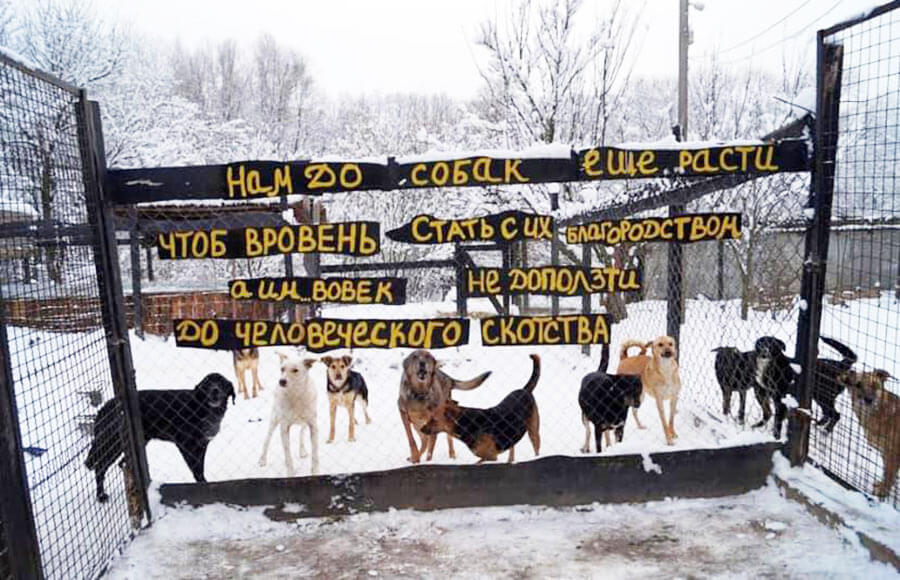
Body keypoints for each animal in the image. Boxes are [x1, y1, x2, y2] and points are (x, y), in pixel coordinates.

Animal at [84, 372, 236, 502]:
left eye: (221, 382)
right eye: (207, 383)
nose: (215, 390)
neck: (202, 408)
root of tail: (105, 407)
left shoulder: (202, 445)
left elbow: (200, 468)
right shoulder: (185, 444)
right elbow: (196, 470)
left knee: (121, 463)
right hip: (113, 443)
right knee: (101, 467)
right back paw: (101, 496)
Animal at [840, 368, 896, 498]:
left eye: (875, 385)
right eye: (858, 385)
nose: (869, 400)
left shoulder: (892, 454)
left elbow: (889, 476)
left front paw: (882, 492)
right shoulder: (885, 453)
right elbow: (886, 473)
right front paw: (881, 486)